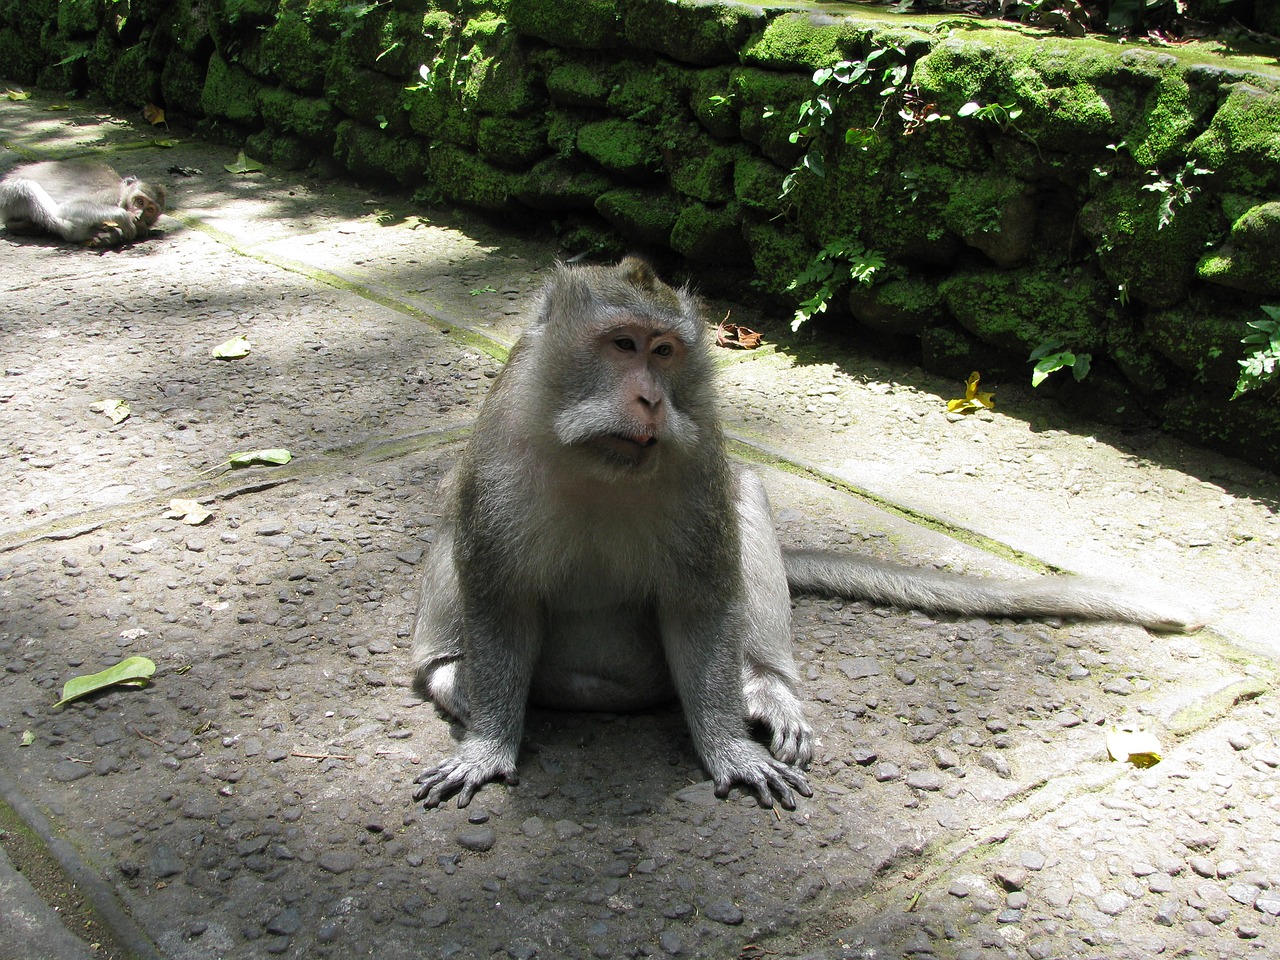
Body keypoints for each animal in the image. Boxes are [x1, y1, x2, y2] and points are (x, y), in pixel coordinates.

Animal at [0, 160, 167, 248]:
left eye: (150, 210)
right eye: (139, 201)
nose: (138, 216)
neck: (121, 192)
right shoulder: (110, 196)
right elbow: (69, 207)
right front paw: (123, 217)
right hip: (8, 193)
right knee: (28, 187)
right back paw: (77, 233)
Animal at [412, 257, 1198, 814]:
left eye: (665, 353)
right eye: (624, 344)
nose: (651, 399)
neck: (599, 463)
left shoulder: (700, 460)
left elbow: (702, 605)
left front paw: (728, 746)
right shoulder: (499, 455)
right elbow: (500, 598)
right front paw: (489, 743)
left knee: (748, 498)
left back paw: (765, 688)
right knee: (452, 527)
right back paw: (453, 678)